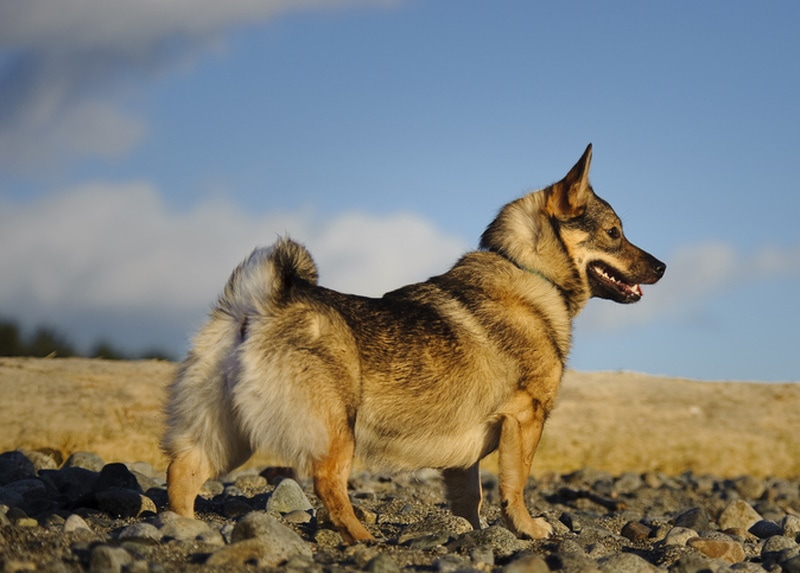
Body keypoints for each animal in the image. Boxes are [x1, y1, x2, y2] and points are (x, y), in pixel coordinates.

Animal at [161, 145, 664, 544]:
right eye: (615, 233)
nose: (662, 267)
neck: (529, 270)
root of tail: (261, 302)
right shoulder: (526, 419)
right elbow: (515, 486)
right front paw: (527, 528)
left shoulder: (468, 457)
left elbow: (471, 499)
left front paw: (475, 533)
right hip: (335, 429)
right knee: (328, 486)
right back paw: (362, 537)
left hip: (225, 434)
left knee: (181, 475)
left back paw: (187, 530)